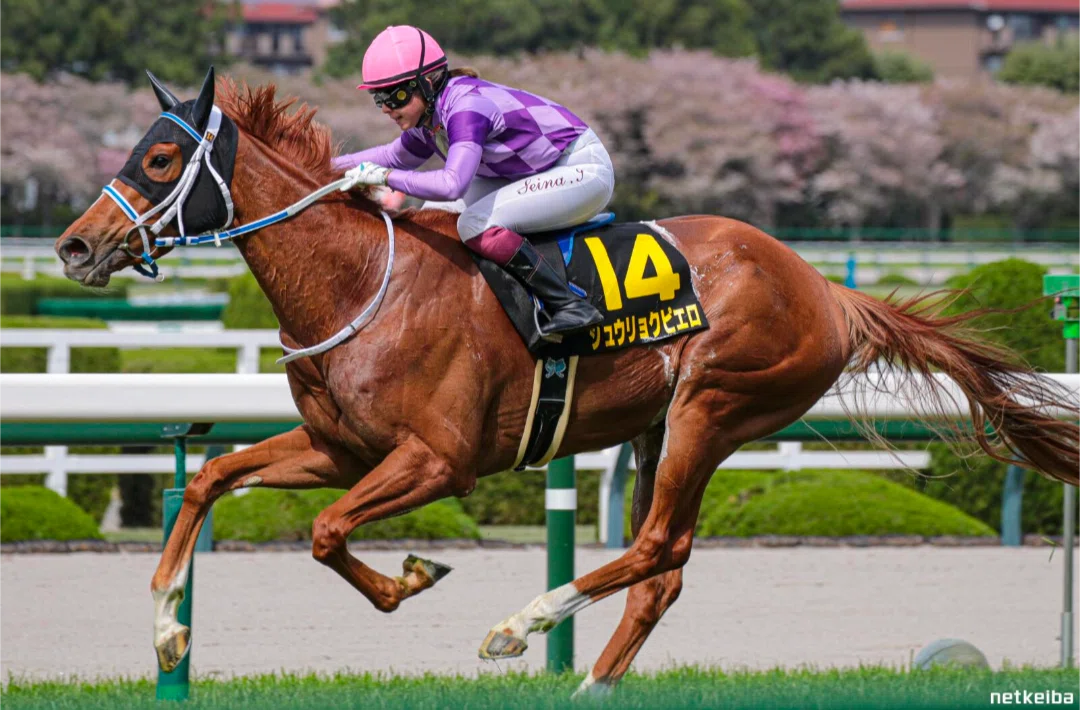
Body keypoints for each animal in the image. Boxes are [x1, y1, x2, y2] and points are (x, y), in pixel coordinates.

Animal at [55, 70, 1080, 697]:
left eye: (157, 160)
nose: (73, 246)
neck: (359, 279)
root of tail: (824, 287)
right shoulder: (339, 446)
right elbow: (210, 479)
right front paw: (168, 633)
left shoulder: (438, 461)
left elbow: (326, 532)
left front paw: (414, 578)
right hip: (662, 425)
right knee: (664, 571)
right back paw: (590, 680)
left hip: (714, 405)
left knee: (661, 542)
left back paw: (526, 623)